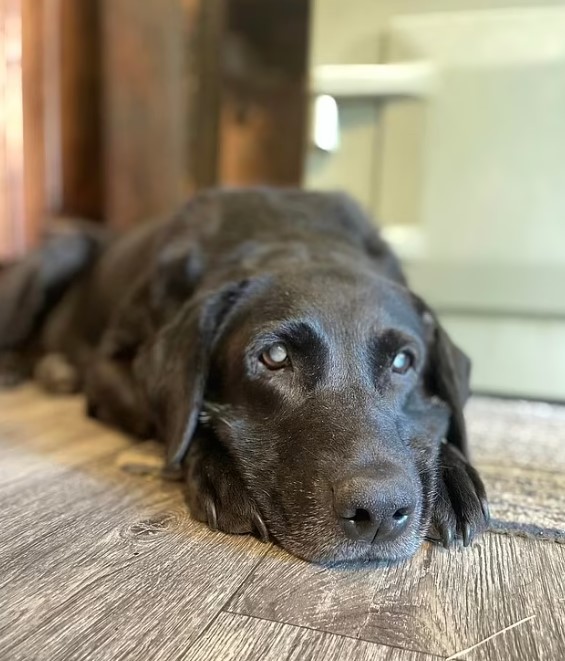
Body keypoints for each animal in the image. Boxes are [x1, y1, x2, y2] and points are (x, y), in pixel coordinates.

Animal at [0, 187, 484, 564]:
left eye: (403, 362)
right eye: (275, 356)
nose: (379, 512)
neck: (293, 235)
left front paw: (451, 478)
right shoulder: (109, 367)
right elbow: (177, 417)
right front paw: (220, 469)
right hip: (58, 257)